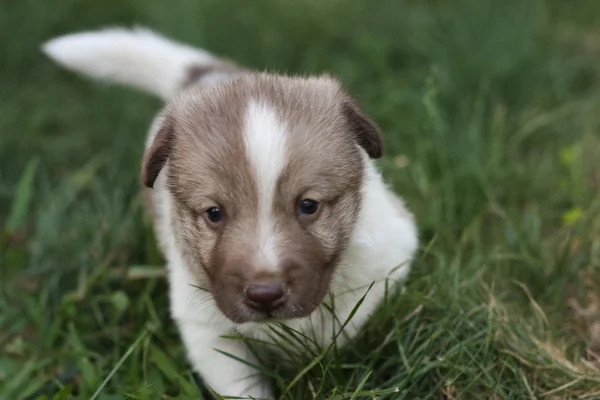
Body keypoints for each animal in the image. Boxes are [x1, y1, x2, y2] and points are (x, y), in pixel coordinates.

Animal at [42, 26, 418, 398]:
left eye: (308, 206)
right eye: (214, 213)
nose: (265, 295)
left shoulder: (388, 261)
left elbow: (350, 322)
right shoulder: (207, 329)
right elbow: (239, 383)